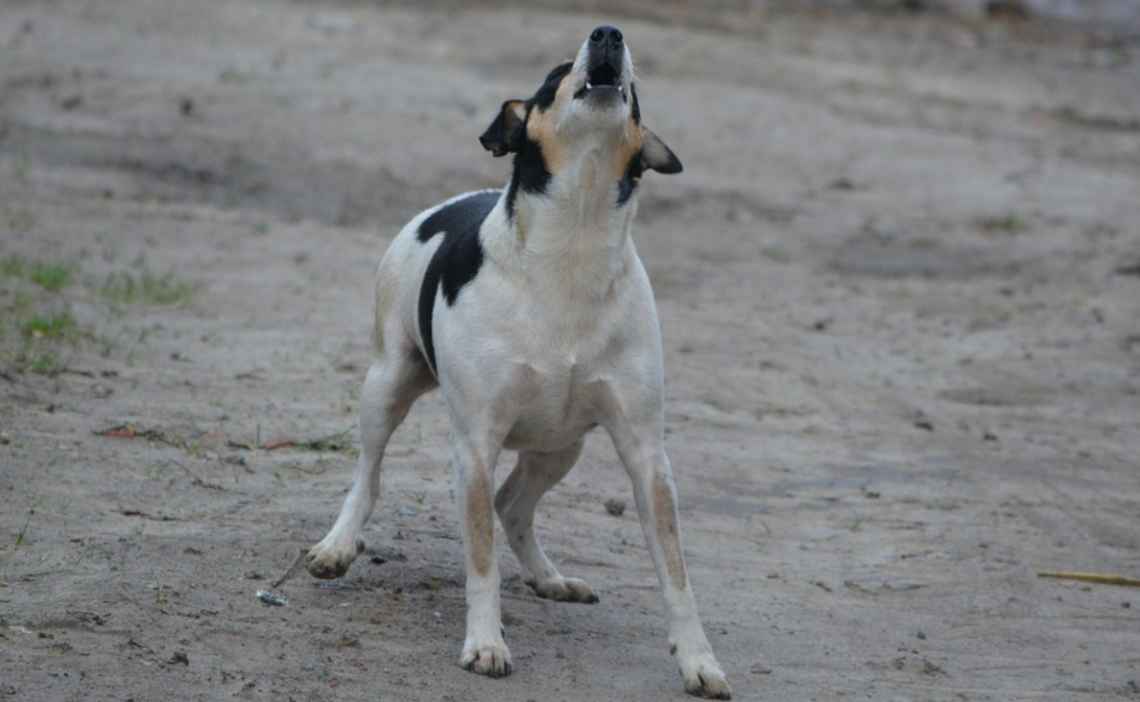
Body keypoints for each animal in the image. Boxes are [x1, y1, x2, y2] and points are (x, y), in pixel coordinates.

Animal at [303, 24, 729, 697]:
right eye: (555, 75)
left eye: (635, 92)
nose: (609, 33)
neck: (573, 245)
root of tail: (451, 202)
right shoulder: (476, 445)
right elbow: (480, 560)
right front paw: (485, 643)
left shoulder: (645, 454)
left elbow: (676, 573)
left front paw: (698, 660)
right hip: (386, 386)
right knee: (368, 477)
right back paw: (338, 546)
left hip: (561, 446)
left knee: (514, 506)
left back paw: (549, 576)